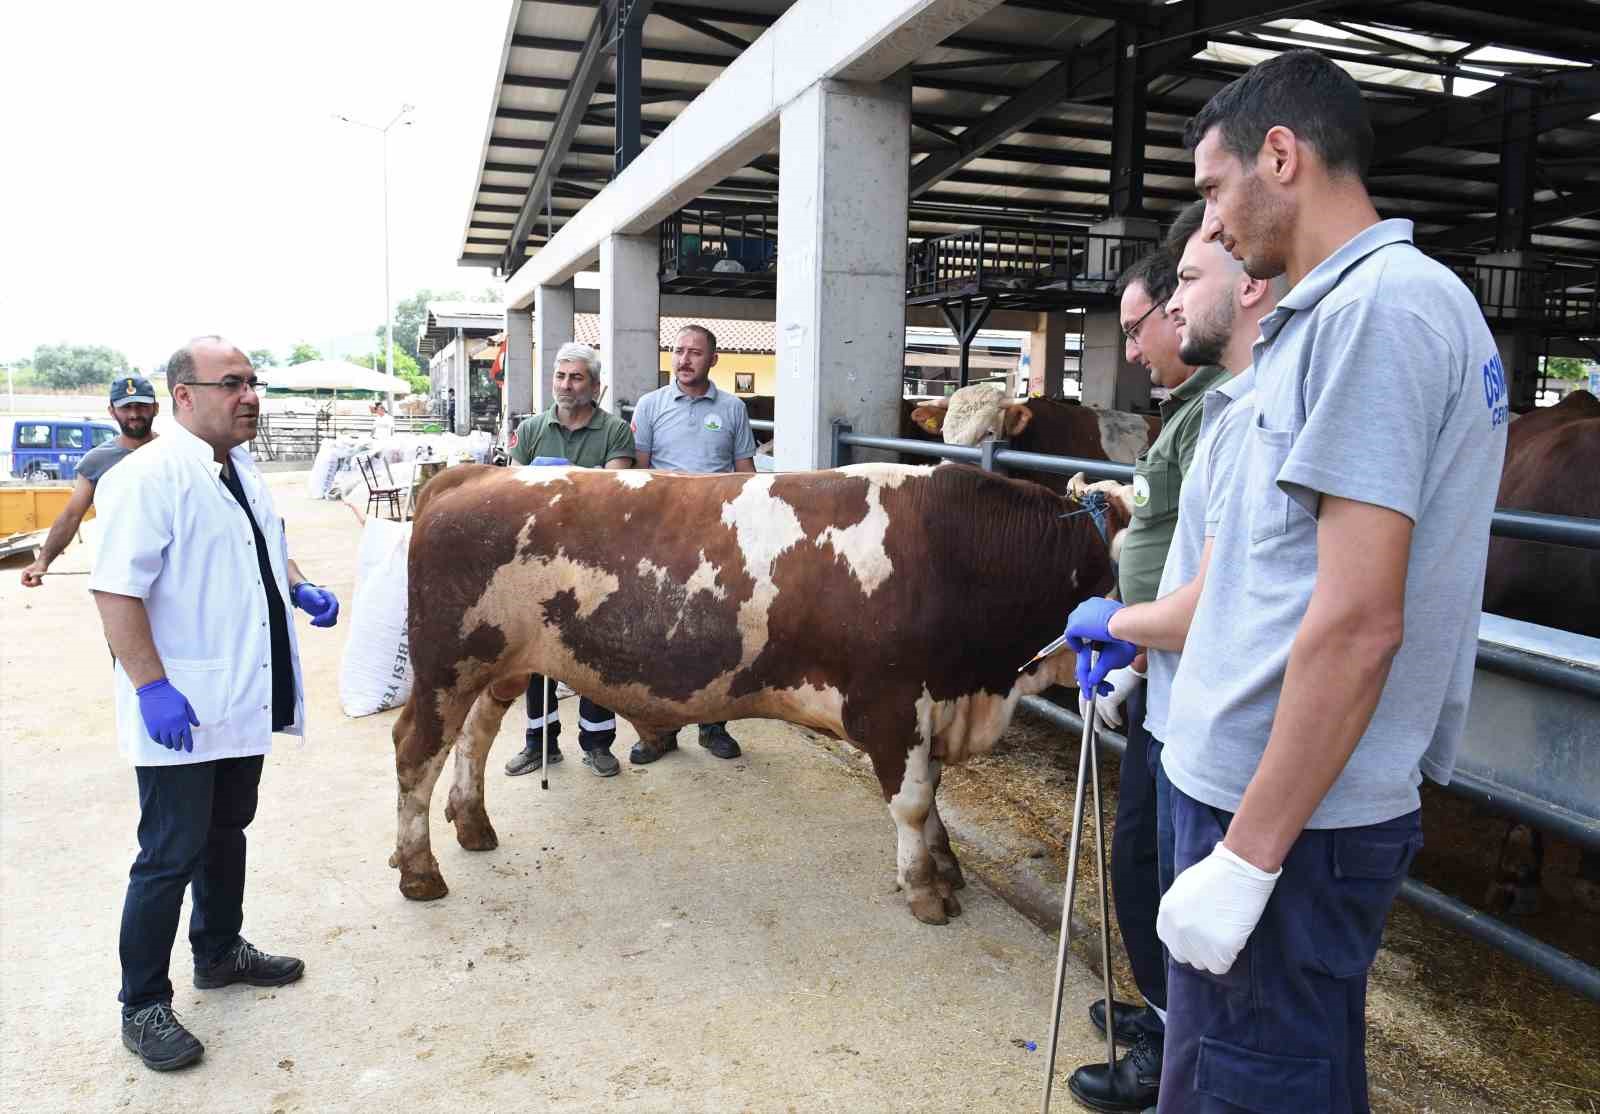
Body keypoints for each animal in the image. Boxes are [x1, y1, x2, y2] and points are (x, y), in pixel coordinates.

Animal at [387, 460, 1120, 921]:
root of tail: (477, 471)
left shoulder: (932, 706)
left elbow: (933, 793)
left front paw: (945, 865)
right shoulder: (891, 704)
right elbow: (912, 802)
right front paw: (925, 891)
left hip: (499, 667)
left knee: (474, 739)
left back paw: (473, 824)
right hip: (446, 665)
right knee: (415, 751)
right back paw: (419, 870)